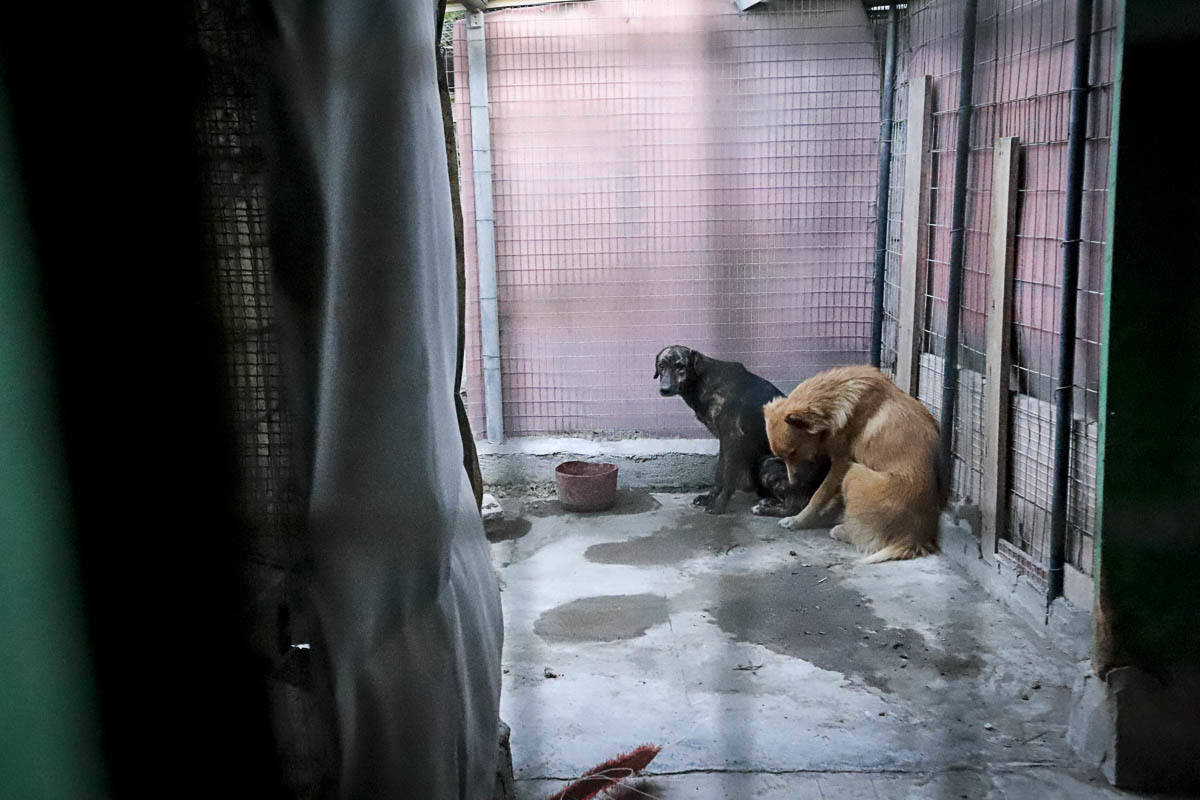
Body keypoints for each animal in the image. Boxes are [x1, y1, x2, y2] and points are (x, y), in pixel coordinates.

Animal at [652, 345, 830, 513]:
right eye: (661, 366)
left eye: (680, 366)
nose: (664, 389)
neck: (703, 381)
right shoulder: (724, 442)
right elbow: (719, 474)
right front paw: (709, 498)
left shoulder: (733, 439)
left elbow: (727, 475)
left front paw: (718, 506)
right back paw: (768, 502)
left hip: (767, 463)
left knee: (795, 506)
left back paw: (765, 509)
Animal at [768, 364, 945, 563]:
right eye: (782, 457)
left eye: (793, 453)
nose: (792, 484)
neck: (839, 398)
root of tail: (914, 539)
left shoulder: (842, 464)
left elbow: (819, 496)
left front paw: (798, 520)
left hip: (854, 473)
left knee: (868, 538)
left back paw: (842, 530)